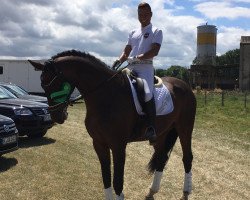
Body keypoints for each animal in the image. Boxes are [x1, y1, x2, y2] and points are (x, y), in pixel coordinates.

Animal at [28, 49, 196, 199]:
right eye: (42, 84)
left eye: (55, 83)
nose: (56, 116)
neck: (105, 95)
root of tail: (184, 85)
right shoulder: (99, 143)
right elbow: (106, 178)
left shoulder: (118, 145)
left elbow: (117, 182)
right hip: (161, 134)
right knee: (161, 158)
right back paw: (151, 191)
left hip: (184, 129)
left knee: (187, 157)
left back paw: (186, 191)